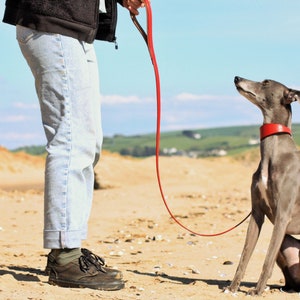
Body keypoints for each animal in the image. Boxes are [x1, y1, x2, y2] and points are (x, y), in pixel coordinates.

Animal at [226, 77, 300, 296]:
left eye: (266, 82)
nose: (236, 78)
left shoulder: (282, 216)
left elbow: (267, 259)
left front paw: (257, 290)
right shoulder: (256, 214)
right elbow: (244, 256)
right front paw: (233, 287)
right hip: (286, 242)